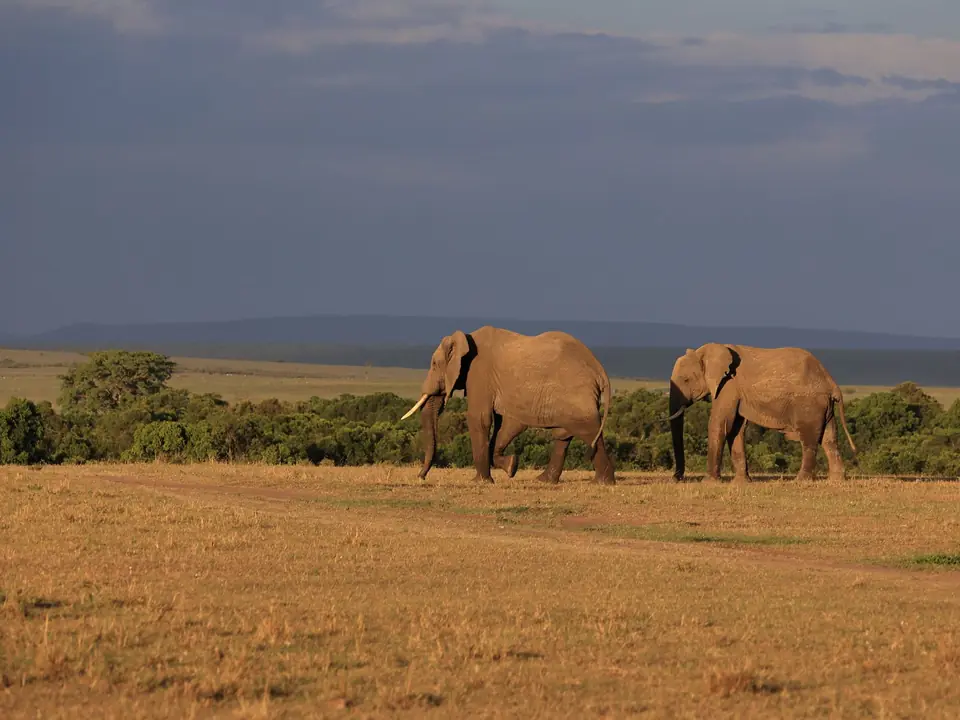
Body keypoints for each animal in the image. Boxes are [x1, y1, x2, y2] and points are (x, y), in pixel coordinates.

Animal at [400, 326, 616, 484]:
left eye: (435, 365)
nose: (421, 477)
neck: (465, 338)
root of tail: (600, 370)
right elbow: (505, 424)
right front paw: (511, 466)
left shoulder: (479, 373)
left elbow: (479, 418)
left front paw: (481, 481)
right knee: (564, 434)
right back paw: (544, 481)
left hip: (577, 393)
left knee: (588, 430)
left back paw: (602, 483)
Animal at [667, 343, 857, 482]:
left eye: (686, 380)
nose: (677, 478)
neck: (705, 352)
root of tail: (831, 383)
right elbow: (736, 429)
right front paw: (741, 483)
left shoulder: (728, 386)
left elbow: (720, 424)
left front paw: (709, 483)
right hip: (824, 407)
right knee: (830, 439)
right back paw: (836, 481)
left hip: (809, 405)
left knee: (809, 440)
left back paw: (800, 481)